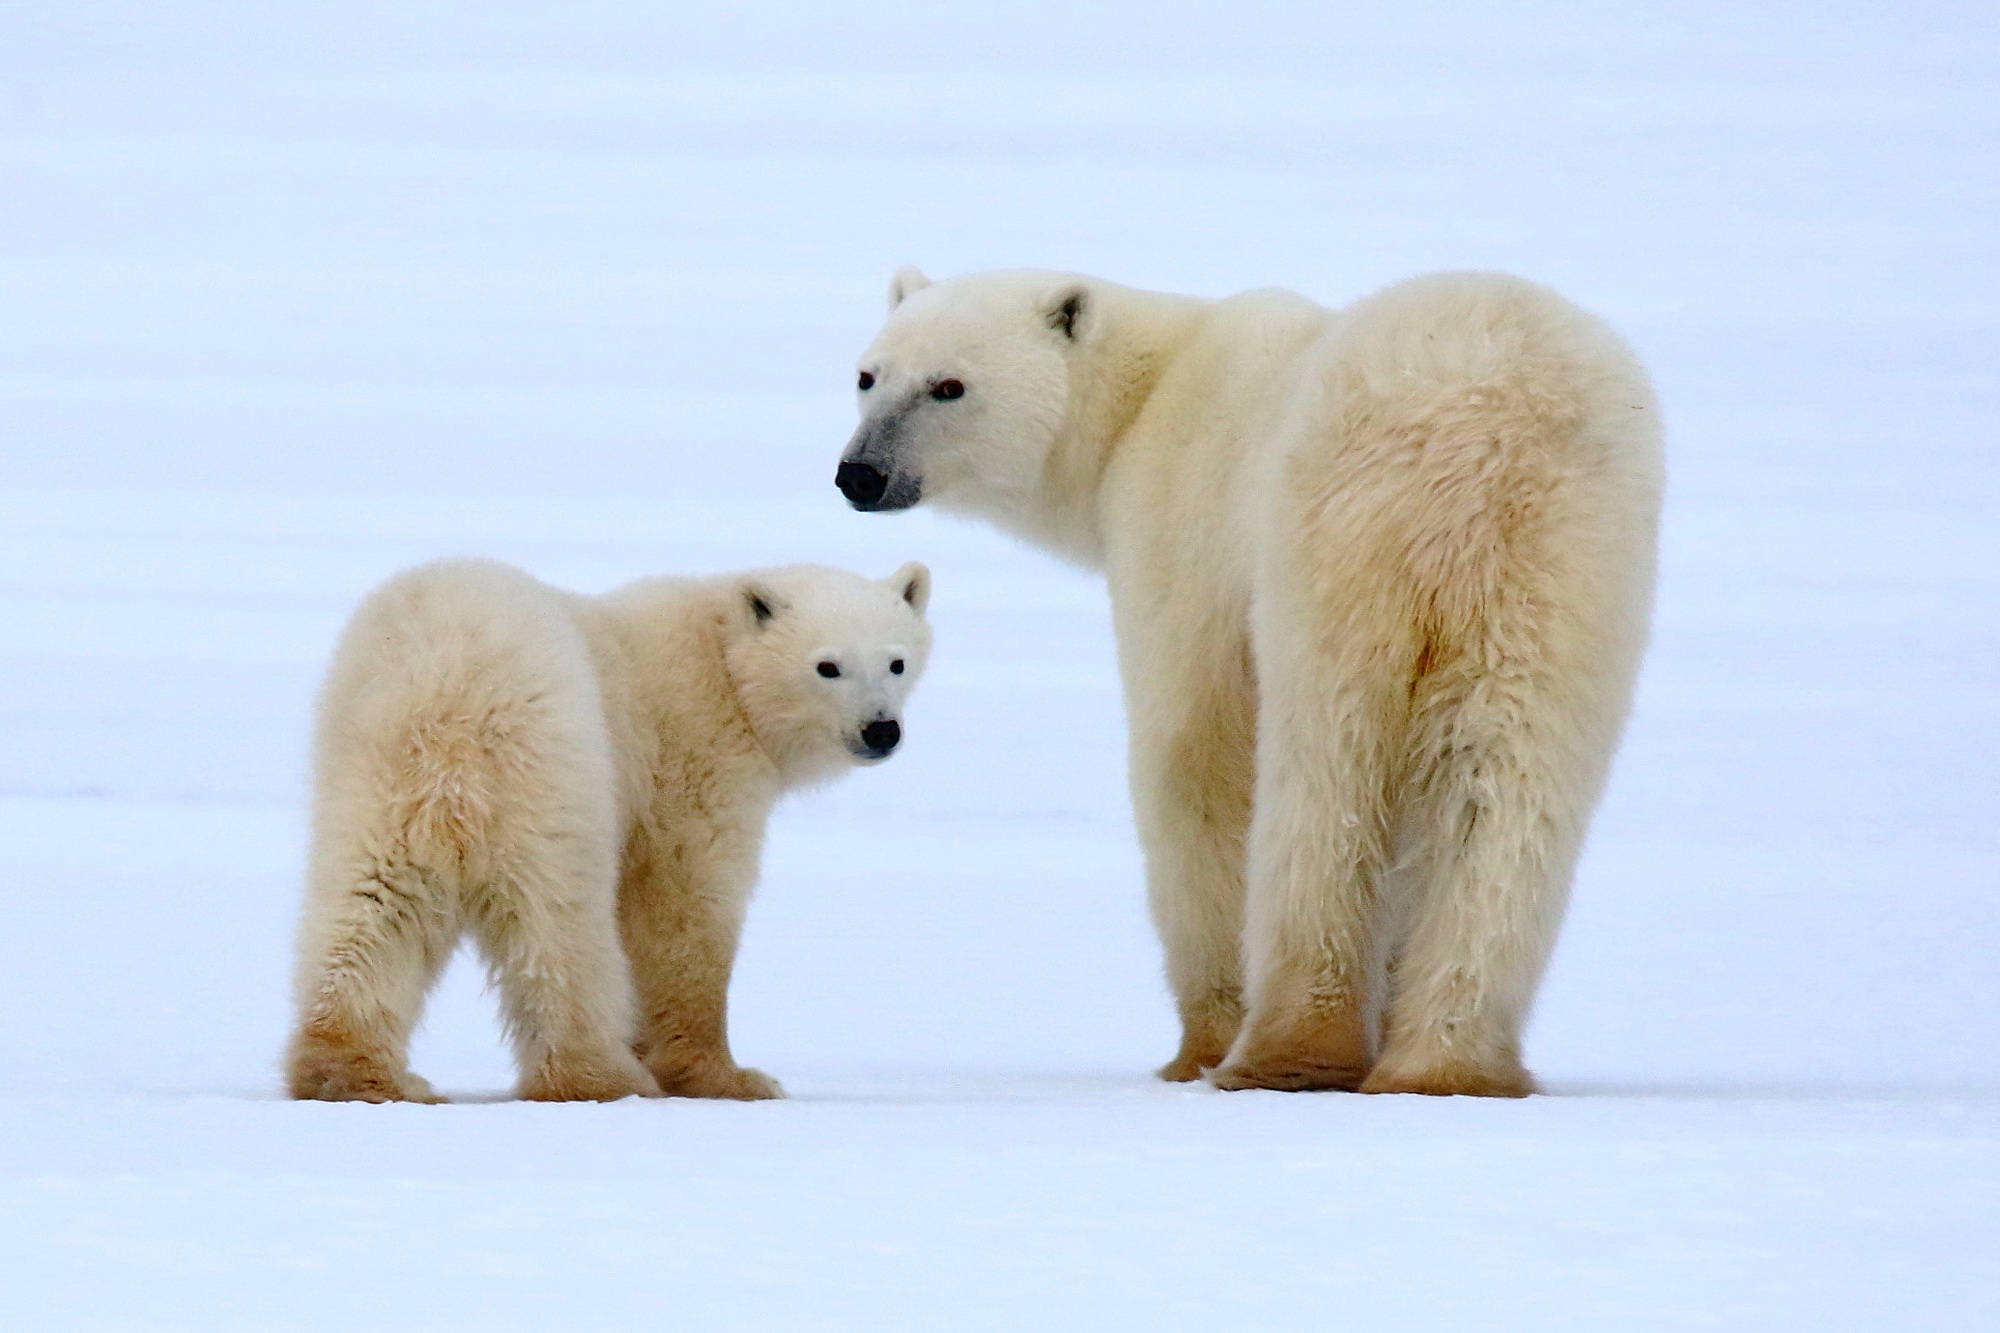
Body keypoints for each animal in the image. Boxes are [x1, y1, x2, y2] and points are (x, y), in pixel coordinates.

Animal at [286, 552, 932, 1096]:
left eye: (897, 661)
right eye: (827, 666)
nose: (881, 730)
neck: (721, 661)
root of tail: (445, 702)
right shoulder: (690, 761)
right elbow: (684, 905)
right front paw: (726, 1077)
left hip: (372, 777)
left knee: (369, 904)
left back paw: (348, 1072)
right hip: (551, 769)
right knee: (558, 924)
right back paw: (598, 1076)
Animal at [836, 264, 1664, 1096]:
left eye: (949, 385)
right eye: (867, 375)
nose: (859, 475)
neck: (1144, 392)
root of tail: (1493, 442)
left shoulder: (1182, 517)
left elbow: (1197, 754)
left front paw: (1198, 1046)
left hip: (1340, 528)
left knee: (1326, 765)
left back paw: (1289, 1050)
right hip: (1569, 568)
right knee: (1508, 787)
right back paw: (1448, 1065)